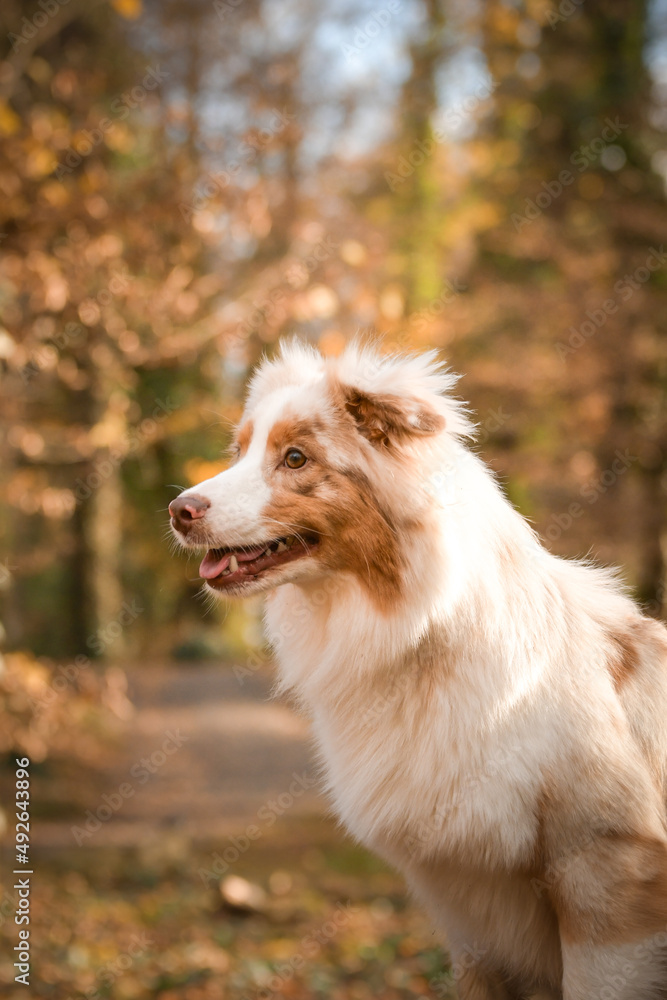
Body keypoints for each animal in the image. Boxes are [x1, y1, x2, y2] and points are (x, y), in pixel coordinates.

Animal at [168, 340, 667, 996]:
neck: (424, 632)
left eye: (295, 458)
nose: (177, 510)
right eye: (240, 451)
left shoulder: (608, 875)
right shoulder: (469, 914)